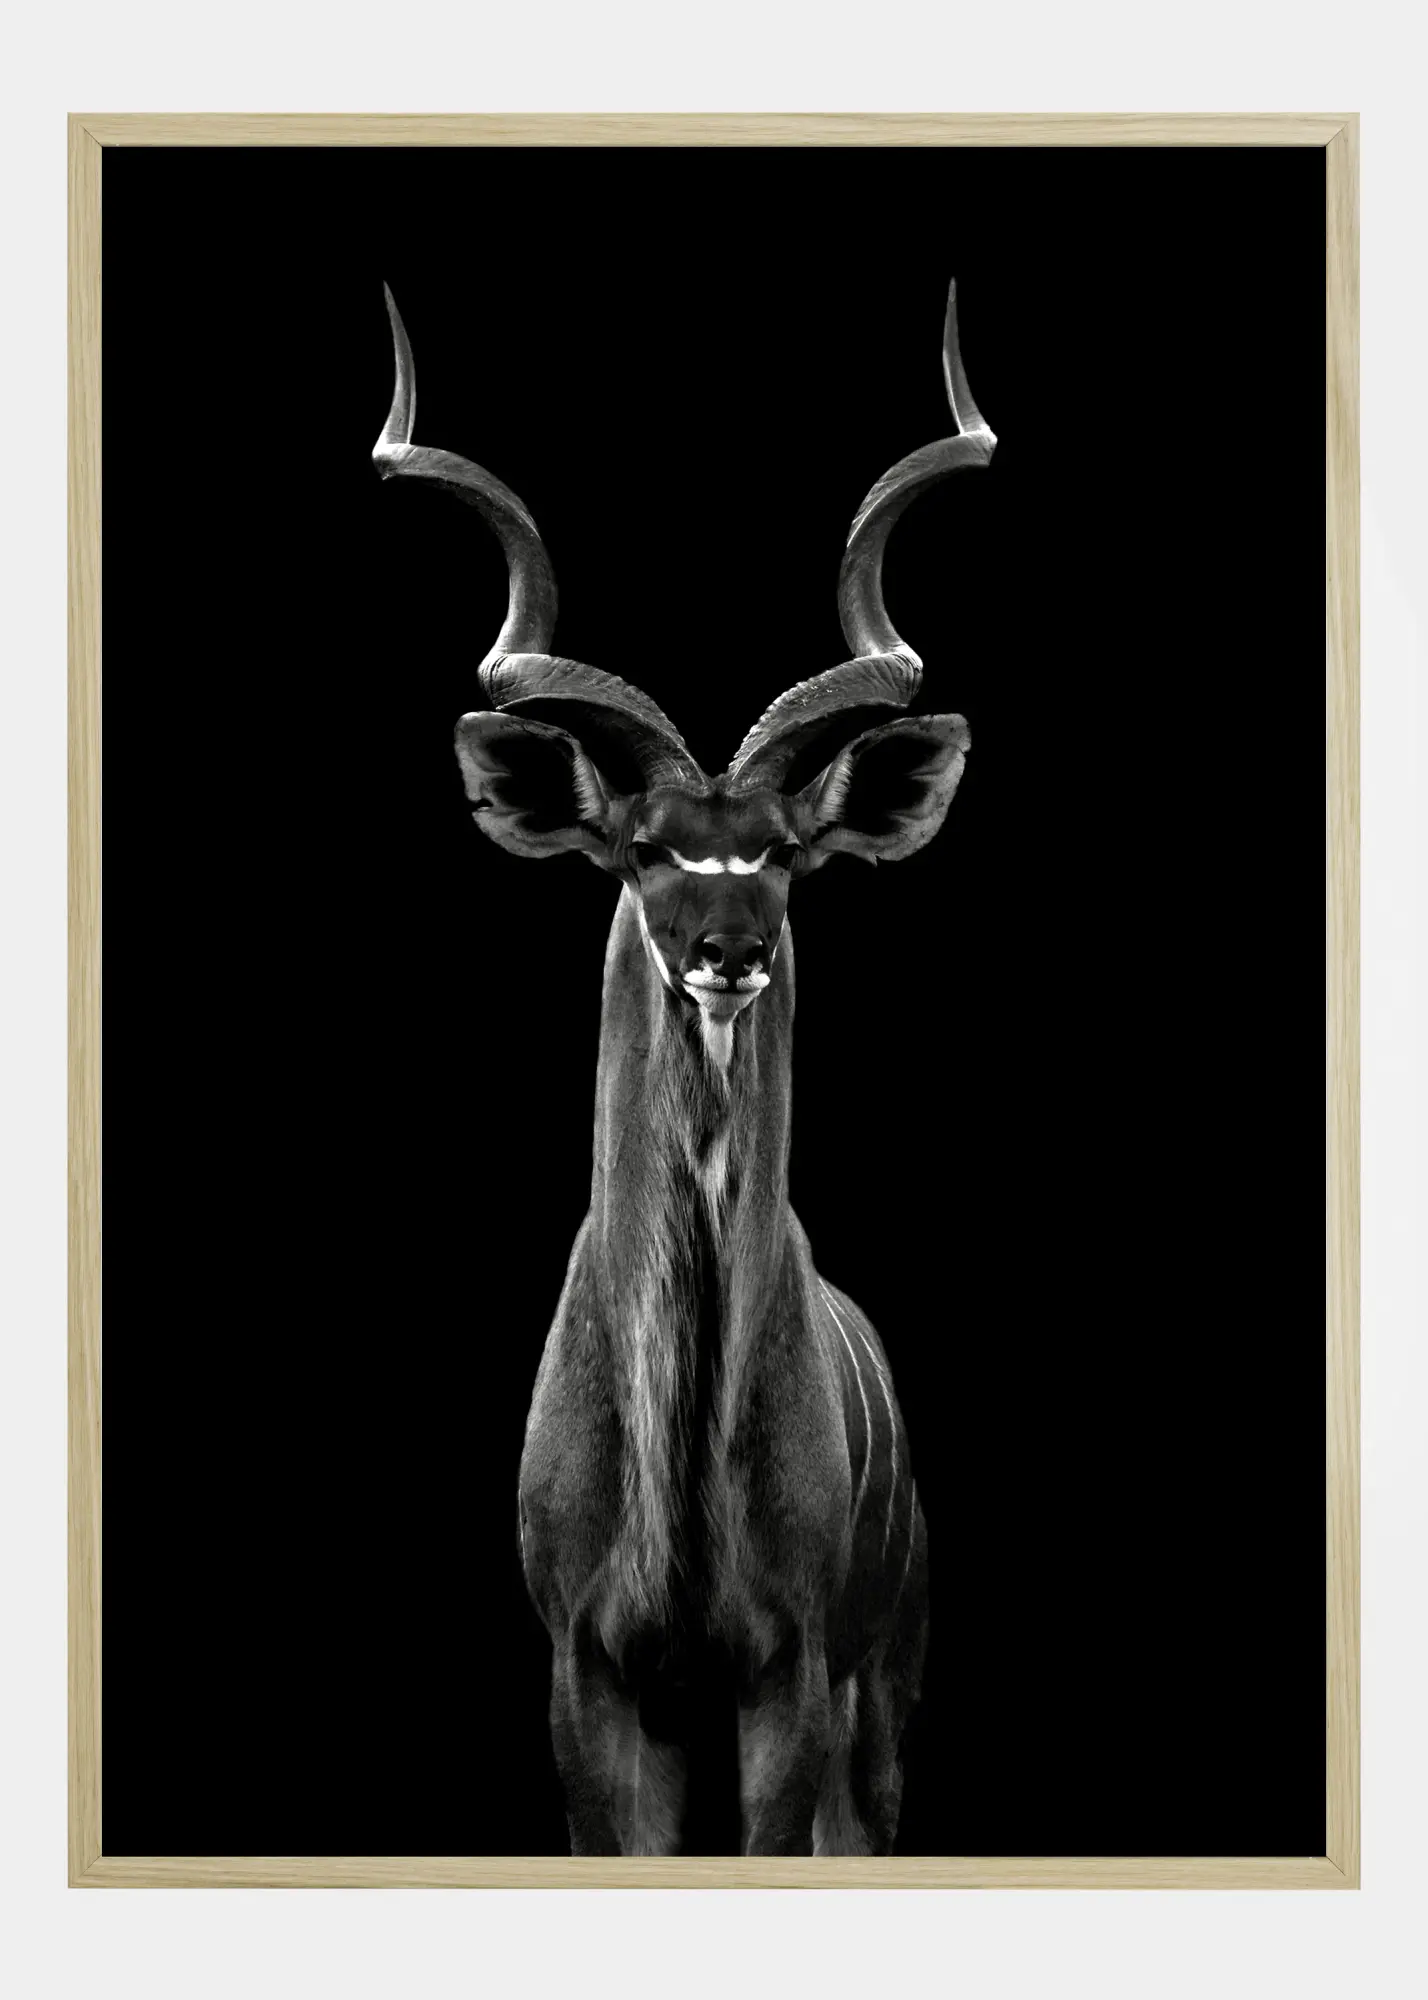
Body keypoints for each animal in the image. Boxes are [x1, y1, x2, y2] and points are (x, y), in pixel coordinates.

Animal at [373, 279, 995, 1856]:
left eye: (782, 852)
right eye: (647, 845)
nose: (729, 948)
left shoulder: (792, 1669)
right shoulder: (591, 1673)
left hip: (882, 1698)